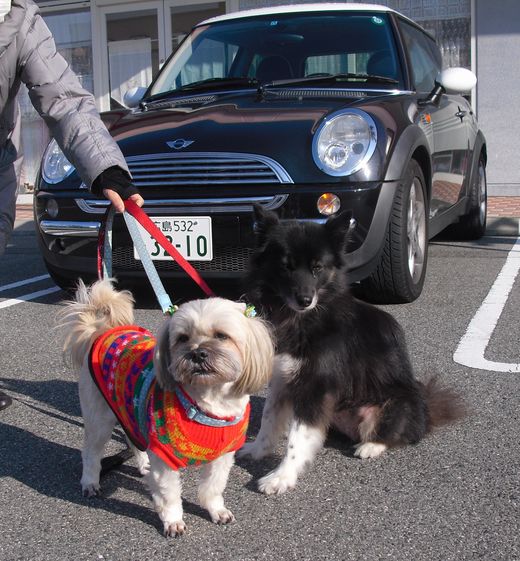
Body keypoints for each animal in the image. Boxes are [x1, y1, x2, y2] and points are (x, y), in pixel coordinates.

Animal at [60, 279, 273, 536]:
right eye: (182, 338)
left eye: (221, 336)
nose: (197, 353)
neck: (207, 404)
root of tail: (103, 330)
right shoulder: (164, 458)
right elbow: (169, 495)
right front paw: (173, 521)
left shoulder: (223, 457)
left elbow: (212, 487)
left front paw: (215, 510)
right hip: (99, 419)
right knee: (91, 453)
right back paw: (90, 482)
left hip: (129, 410)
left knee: (133, 439)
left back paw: (143, 464)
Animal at [238, 204, 464, 495]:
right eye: (285, 266)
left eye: (317, 268)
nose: (305, 299)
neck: (301, 318)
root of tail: (426, 412)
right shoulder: (282, 377)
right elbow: (269, 419)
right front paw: (258, 451)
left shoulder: (315, 385)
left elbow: (297, 440)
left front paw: (281, 477)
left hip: (394, 404)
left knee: (399, 434)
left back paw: (370, 446)